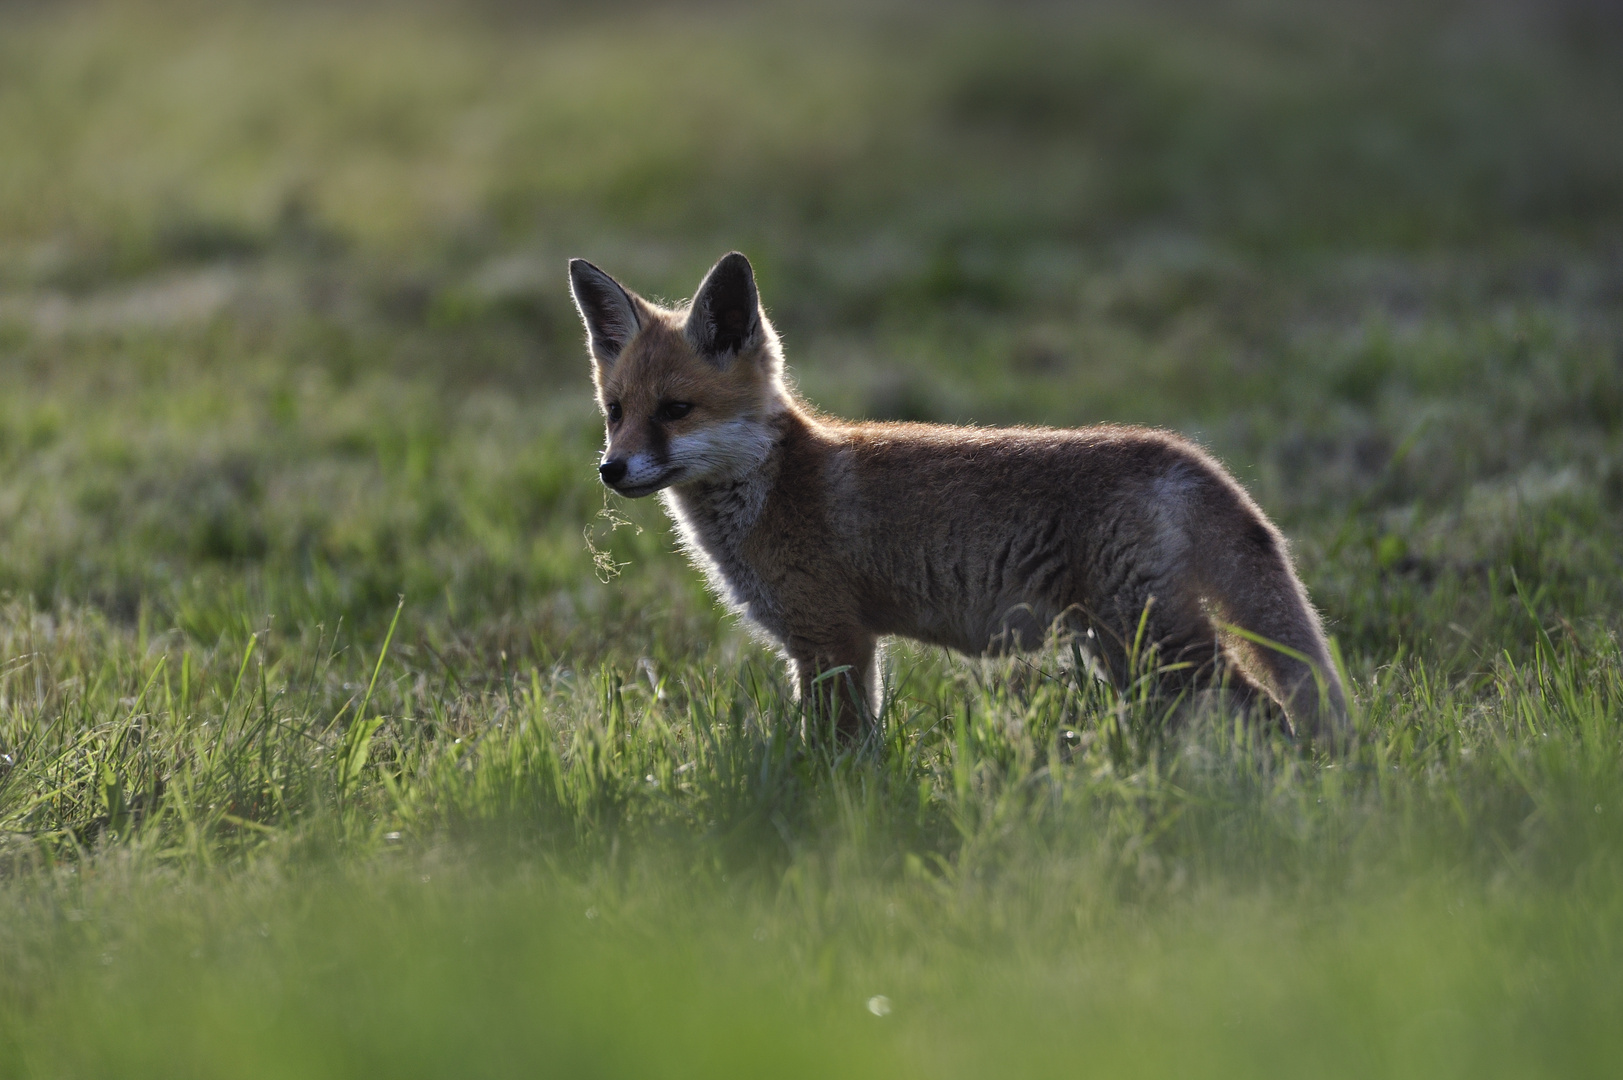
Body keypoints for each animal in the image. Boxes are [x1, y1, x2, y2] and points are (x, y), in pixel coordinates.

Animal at [564, 250, 1350, 740]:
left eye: (675, 411)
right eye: (615, 411)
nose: (611, 469)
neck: (772, 488)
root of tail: (1184, 454)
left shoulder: (832, 637)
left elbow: (834, 752)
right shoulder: (837, 643)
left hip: (1153, 642)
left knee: (1267, 709)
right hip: (1123, 652)